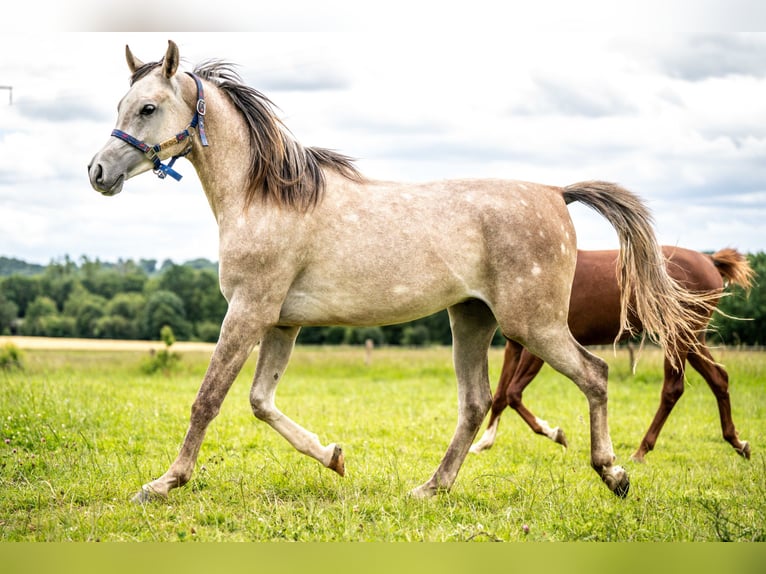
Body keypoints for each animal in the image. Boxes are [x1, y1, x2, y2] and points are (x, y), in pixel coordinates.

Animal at [85, 39, 712, 504]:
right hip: (472, 321)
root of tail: (557, 193)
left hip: (532, 325)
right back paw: (430, 488)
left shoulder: (249, 311)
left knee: (594, 375)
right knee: (476, 403)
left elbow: (209, 398)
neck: (264, 197)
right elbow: (261, 402)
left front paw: (164, 483)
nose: (98, 173)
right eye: (119, 106)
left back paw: (615, 473)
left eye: (147, 108)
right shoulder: (281, 322)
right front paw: (333, 457)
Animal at [474, 248, 756, 464]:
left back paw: (641, 451)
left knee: (673, 389)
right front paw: (482, 443)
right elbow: (500, 395)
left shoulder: (539, 348)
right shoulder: (514, 346)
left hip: (678, 337)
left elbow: (512, 393)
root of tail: (709, 260)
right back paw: (739, 443)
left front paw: (556, 434)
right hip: (692, 338)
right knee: (719, 378)